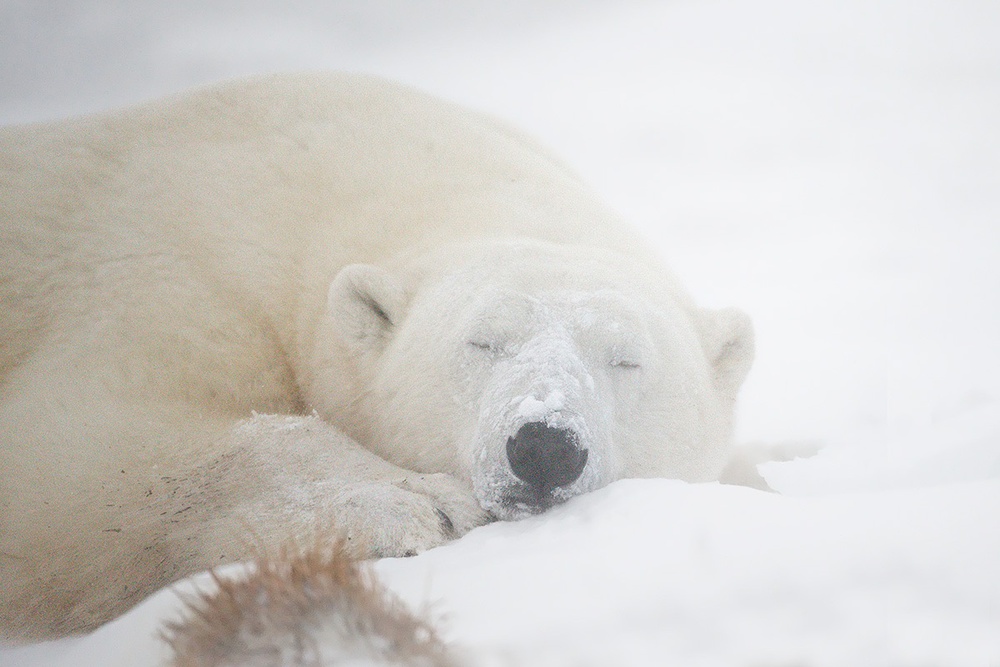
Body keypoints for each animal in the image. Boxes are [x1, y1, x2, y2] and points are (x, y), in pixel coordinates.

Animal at [0, 73, 752, 640]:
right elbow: (77, 454)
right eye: (482, 342)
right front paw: (415, 504)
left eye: (625, 360)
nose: (544, 446)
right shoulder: (168, 271)